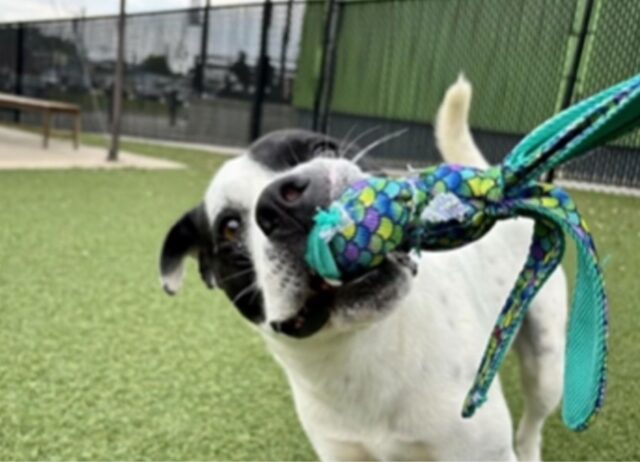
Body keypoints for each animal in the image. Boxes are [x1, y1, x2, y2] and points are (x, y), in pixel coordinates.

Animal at [159, 77, 564, 460]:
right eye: (228, 228)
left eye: (323, 149)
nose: (290, 198)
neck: (360, 352)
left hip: (547, 367)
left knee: (532, 426)